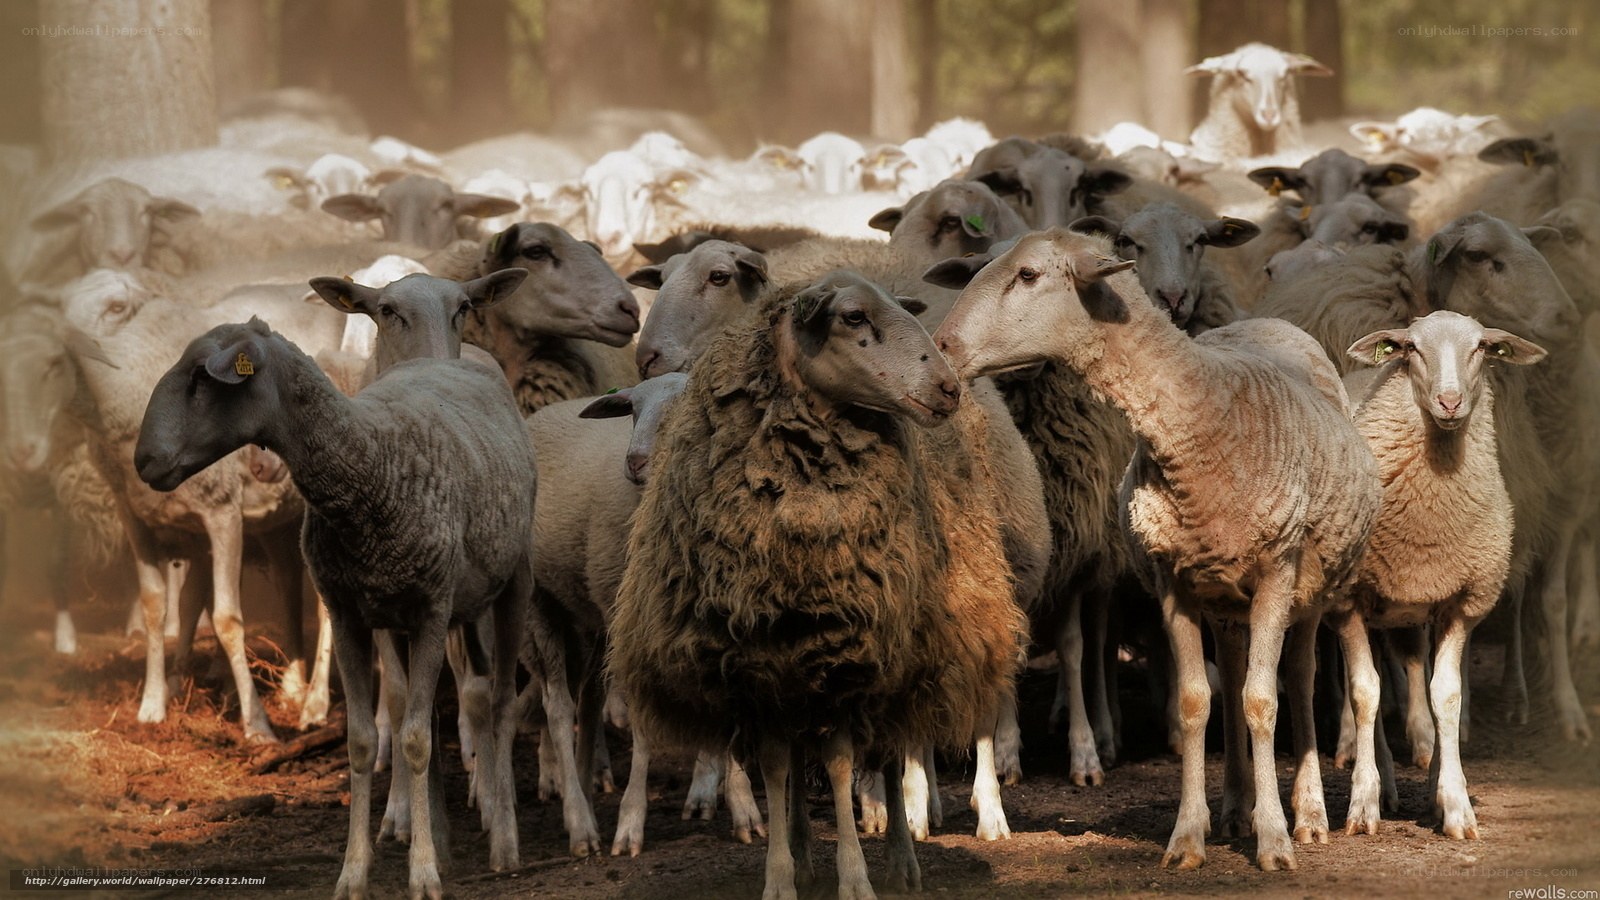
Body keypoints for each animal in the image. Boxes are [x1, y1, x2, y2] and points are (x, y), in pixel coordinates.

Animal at [134, 318, 535, 898]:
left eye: (201, 377)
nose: (143, 459)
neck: (371, 467)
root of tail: (455, 359)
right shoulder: (349, 615)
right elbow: (365, 741)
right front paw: (355, 872)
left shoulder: (431, 611)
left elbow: (415, 740)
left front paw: (422, 874)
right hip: (430, 609)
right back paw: (442, 837)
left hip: (513, 581)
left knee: (501, 701)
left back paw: (504, 841)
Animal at [610, 270, 1028, 898]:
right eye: (853, 317)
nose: (947, 388)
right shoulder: (760, 668)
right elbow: (777, 768)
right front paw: (781, 876)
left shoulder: (849, 660)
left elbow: (838, 765)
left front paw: (855, 877)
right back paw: (806, 854)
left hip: (901, 664)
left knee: (887, 756)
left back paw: (902, 860)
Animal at [933, 227, 1382, 871]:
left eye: (1027, 275)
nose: (942, 346)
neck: (1202, 419)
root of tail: (1270, 321)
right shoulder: (1174, 581)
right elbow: (1196, 702)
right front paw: (1189, 835)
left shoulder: (1276, 572)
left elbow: (1262, 701)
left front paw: (1275, 838)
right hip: (1226, 596)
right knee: (1236, 672)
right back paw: (1236, 806)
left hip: (1317, 586)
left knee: (1297, 678)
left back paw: (1311, 812)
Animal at [1334, 311, 1546, 840]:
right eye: (1412, 349)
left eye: (1481, 348)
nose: (1449, 402)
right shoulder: (1348, 602)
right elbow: (1365, 692)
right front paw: (1363, 803)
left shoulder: (1461, 601)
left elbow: (1444, 696)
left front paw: (1453, 804)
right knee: (1365, 689)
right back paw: (1384, 782)